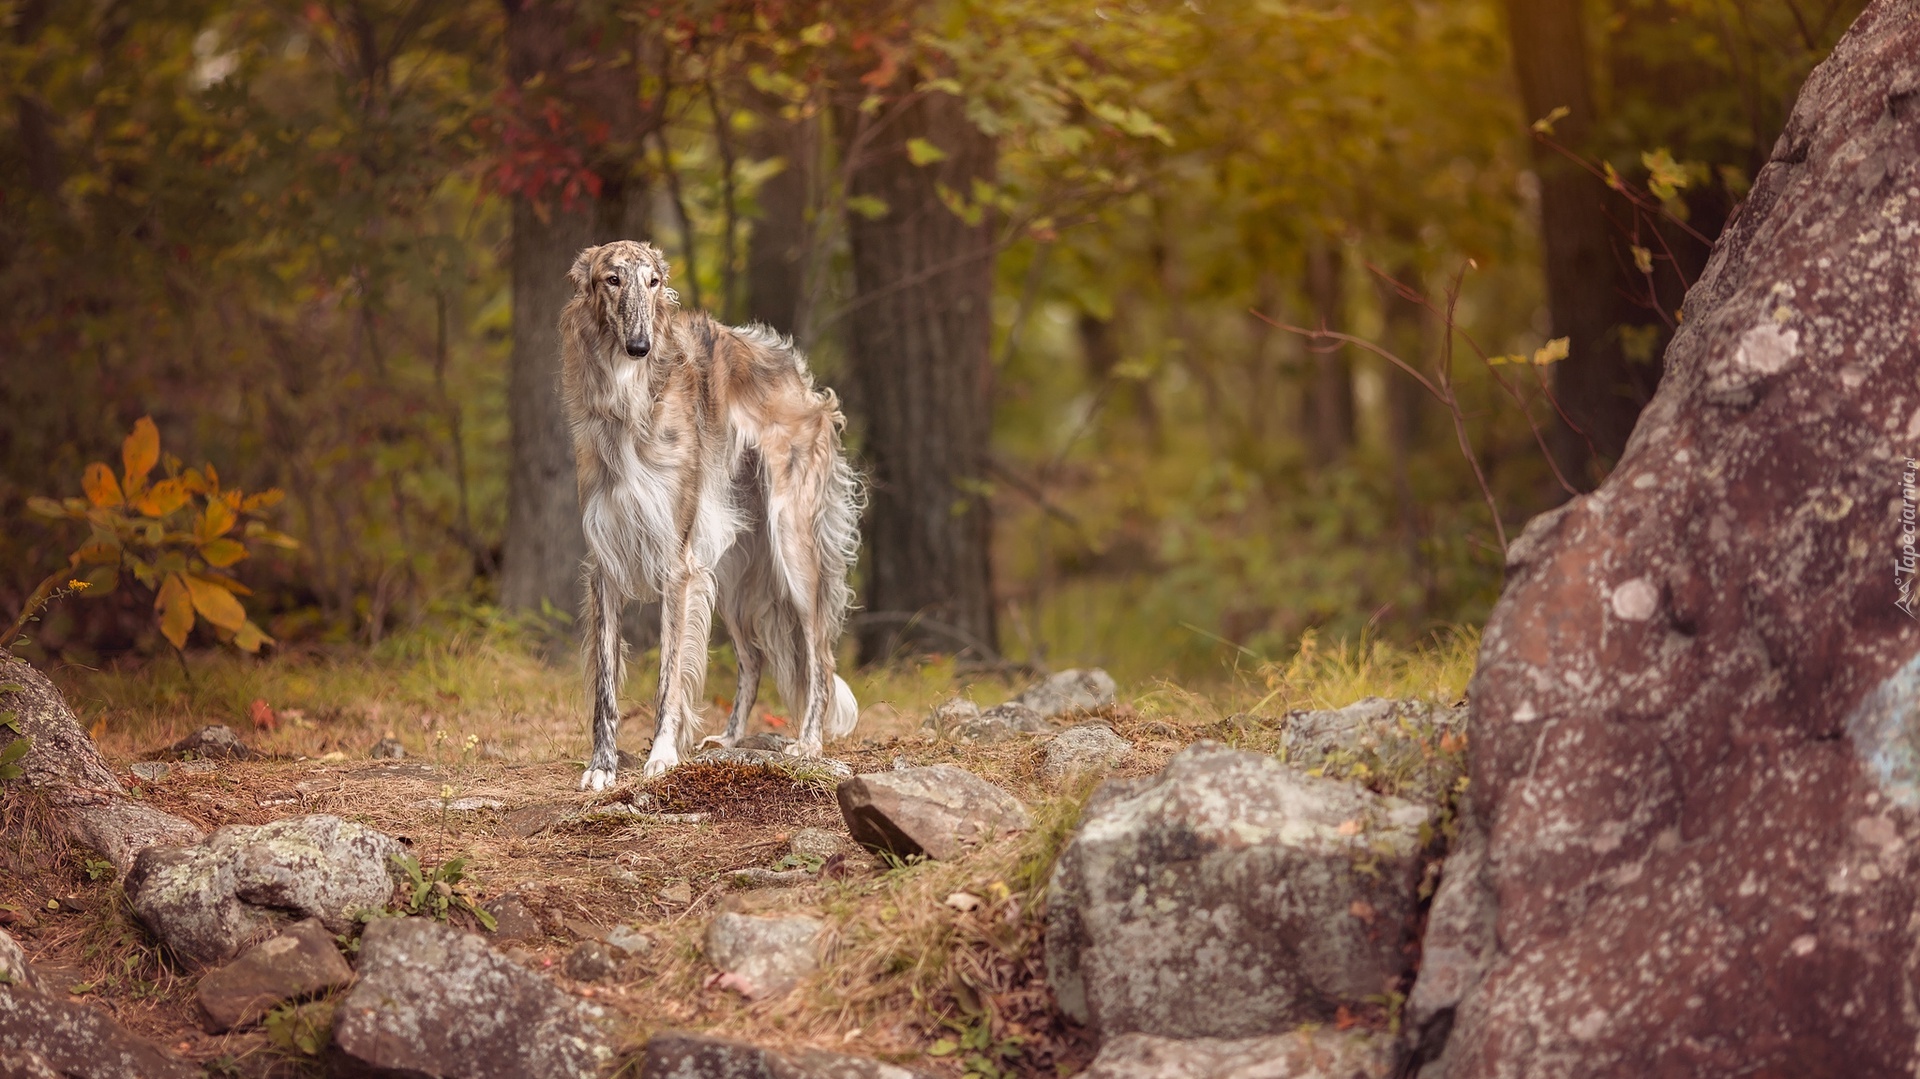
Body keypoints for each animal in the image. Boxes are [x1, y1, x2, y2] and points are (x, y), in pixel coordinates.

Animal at [560, 239, 864, 787]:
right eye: (612, 279)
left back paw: (808, 743)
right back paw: (729, 738)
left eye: (653, 282)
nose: (639, 346)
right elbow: (605, 687)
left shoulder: (677, 567)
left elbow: (669, 677)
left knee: (820, 656)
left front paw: (661, 756)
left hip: (792, 549)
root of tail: (800, 378)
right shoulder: (605, 563)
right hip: (731, 570)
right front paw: (601, 767)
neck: (630, 401)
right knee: (755, 658)